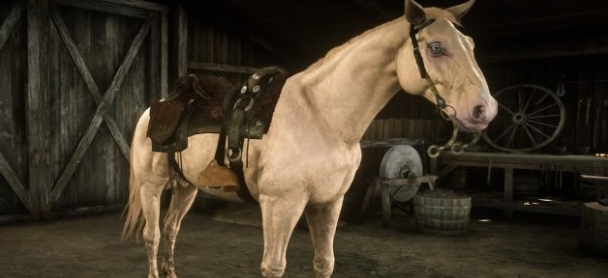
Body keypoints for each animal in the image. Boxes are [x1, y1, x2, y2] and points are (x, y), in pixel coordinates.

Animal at [124, 1, 498, 276]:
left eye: (471, 45)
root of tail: (154, 108)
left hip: (187, 187)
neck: (323, 116)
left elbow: (324, 262)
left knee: (171, 229)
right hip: (152, 186)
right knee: (152, 235)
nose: (485, 110)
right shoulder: (281, 205)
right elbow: (274, 266)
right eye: (435, 47)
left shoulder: (329, 202)